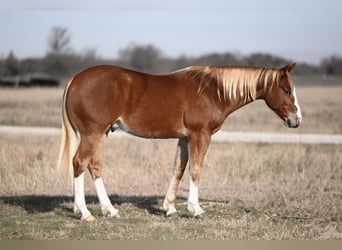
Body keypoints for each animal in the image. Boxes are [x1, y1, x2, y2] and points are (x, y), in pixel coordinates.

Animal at [56, 63, 302, 221]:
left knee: (94, 167)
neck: (213, 91)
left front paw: (170, 208)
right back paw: (85, 213)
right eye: (286, 90)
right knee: (79, 163)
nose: (296, 120)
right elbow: (195, 170)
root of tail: (75, 79)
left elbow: (178, 170)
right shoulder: (199, 135)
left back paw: (109, 210)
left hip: (100, 134)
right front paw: (196, 209)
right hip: (92, 134)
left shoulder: (184, 138)